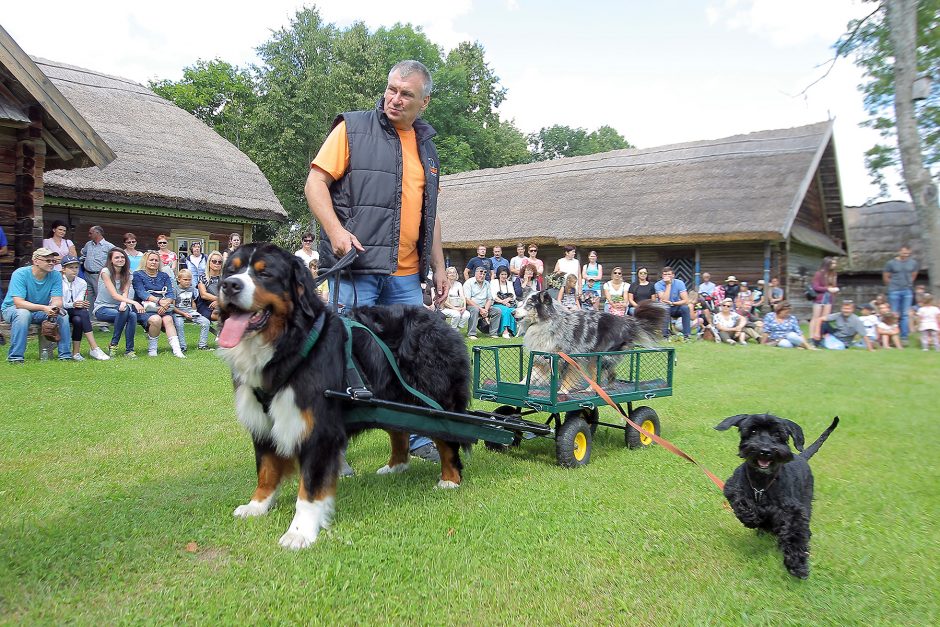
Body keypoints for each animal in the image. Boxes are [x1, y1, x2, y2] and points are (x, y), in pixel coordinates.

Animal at [218, 244, 470, 548]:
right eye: (230, 270)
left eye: (264, 273)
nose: (229, 285)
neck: (289, 344)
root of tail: (440, 319)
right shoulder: (263, 421)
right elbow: (266, 468)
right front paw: (257, 505)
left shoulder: (318, 429)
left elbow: (310, 487)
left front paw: (300, 531)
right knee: (399, 431)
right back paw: (395, 466)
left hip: (434, 401)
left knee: (447, 439)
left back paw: (450, 478)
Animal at [716, 412, 840, 580]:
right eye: (753, 431)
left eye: (778, 434)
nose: (765, 450)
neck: (761, 484)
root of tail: (802, 457)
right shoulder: (732, 487)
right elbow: (741, 501)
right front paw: (752, 518)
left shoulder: (794, 510)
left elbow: (795, 533)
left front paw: (798, 565)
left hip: (807, 500)